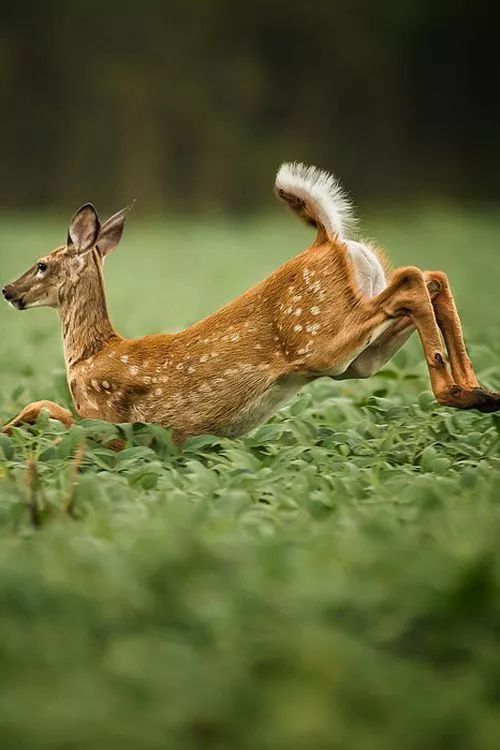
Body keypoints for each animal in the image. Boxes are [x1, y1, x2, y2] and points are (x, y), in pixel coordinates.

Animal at [0, 161, 500, 444]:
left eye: (41, 265)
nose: (8, 290)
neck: (90, 354)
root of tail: (326, 238)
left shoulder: (104, 423)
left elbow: (46, 408)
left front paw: (8, 434)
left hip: (321, 338)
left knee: (414, 279)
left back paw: (459, 390)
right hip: (357, 358)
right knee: (430, 278)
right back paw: (479, 392)